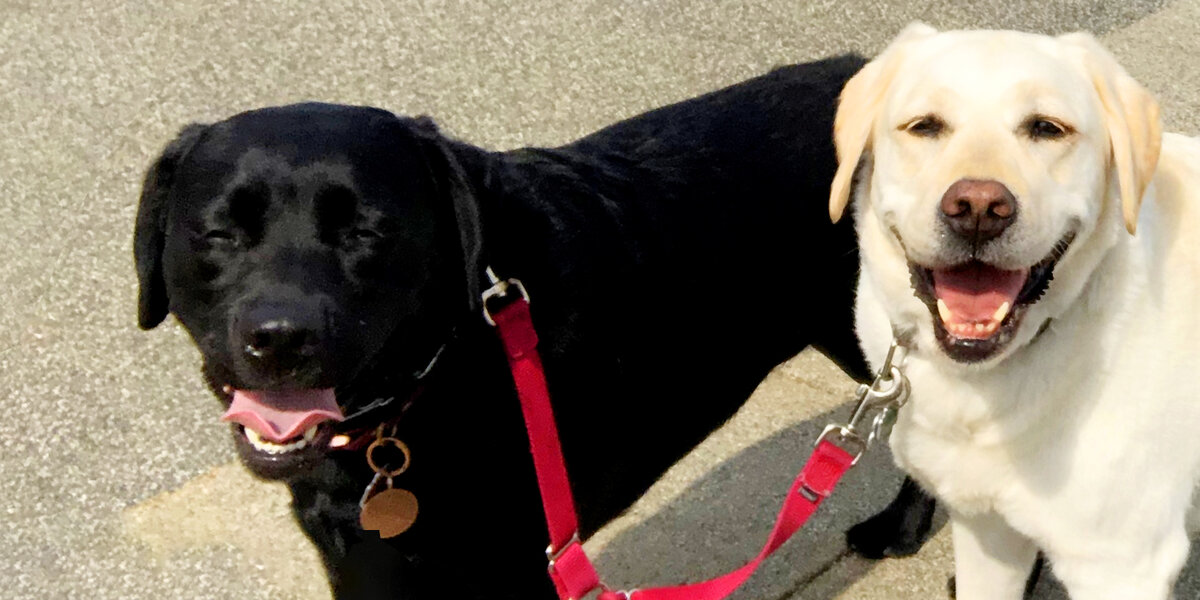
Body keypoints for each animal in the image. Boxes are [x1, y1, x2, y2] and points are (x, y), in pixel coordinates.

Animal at [136, 54, 902, 597]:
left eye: (366, 232)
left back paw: (896, 530)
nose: (280, 337)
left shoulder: (512, 566)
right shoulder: (361, 561)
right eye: (219, 232)